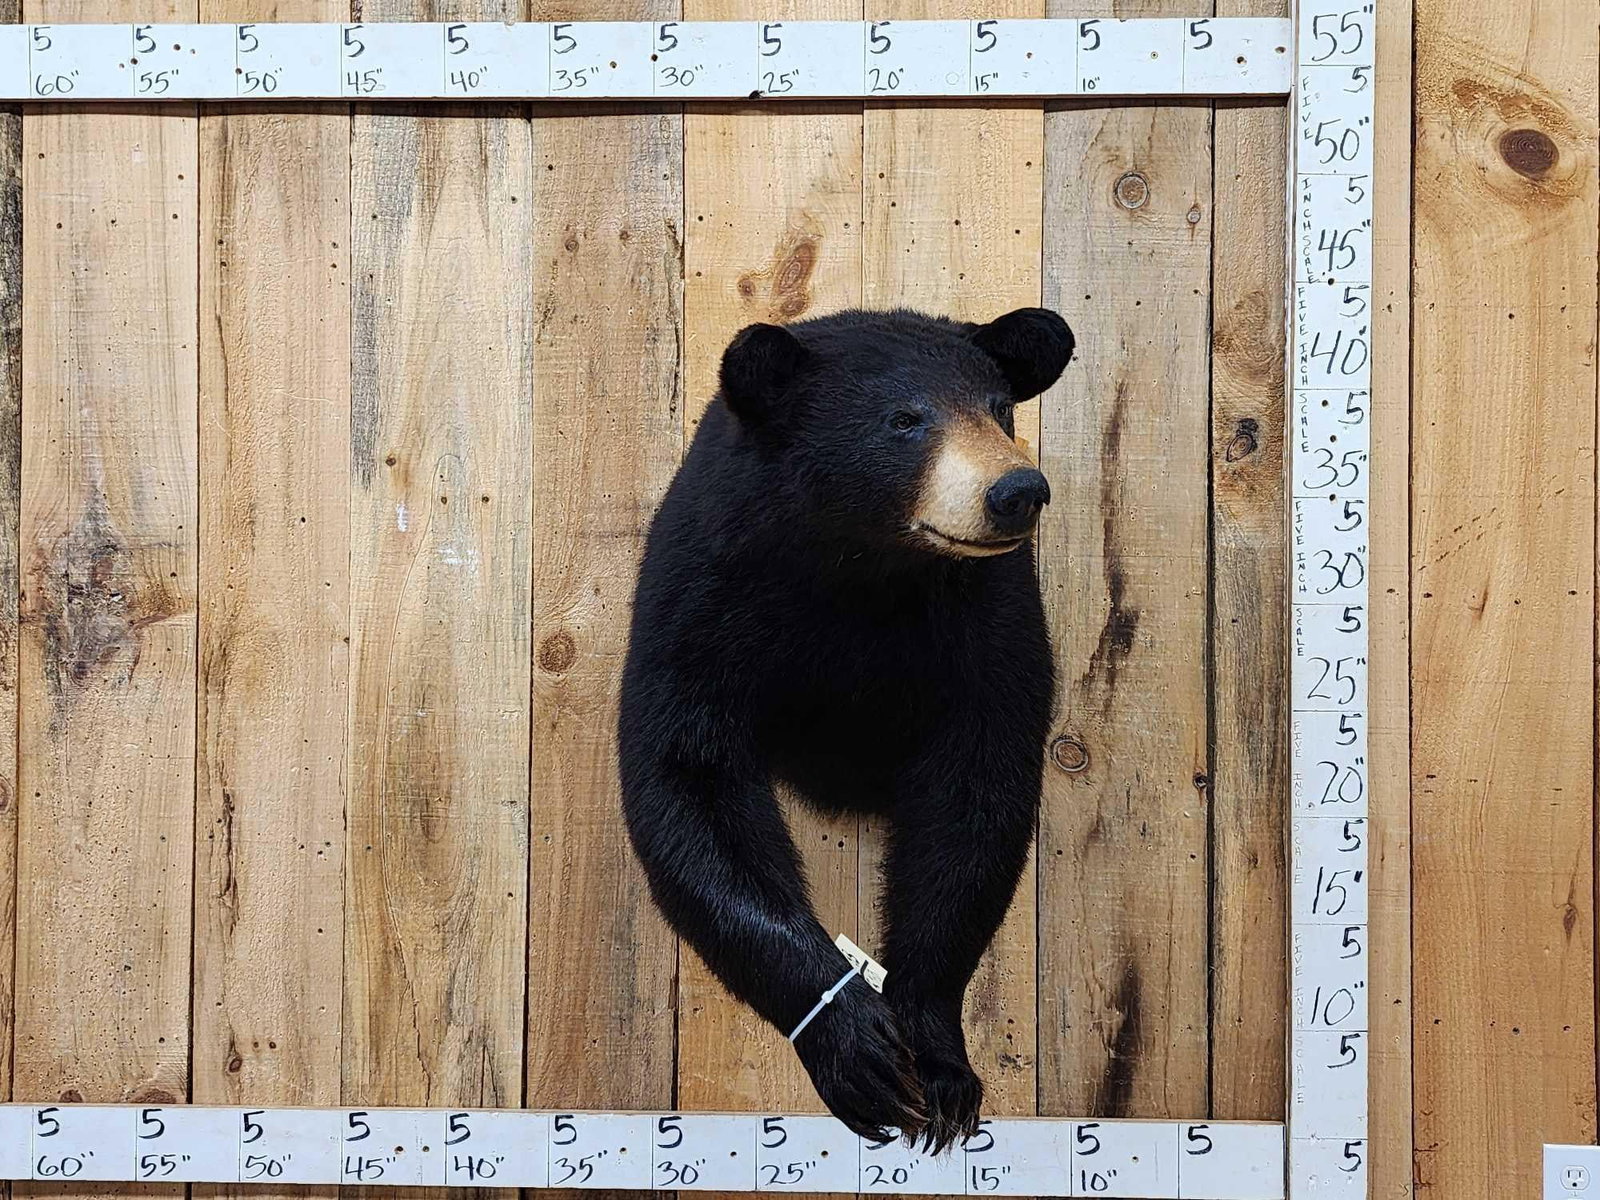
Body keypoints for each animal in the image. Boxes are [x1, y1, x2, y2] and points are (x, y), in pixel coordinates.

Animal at [617, 306, 1074, 1153]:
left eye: (999, 408)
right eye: (904, 420)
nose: (1017, 490)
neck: (864, 568)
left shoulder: (986, 619)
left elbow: (974, 800)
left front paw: (934, 1061)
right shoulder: (704, 593)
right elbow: (689, 778)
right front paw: (855, 1047)